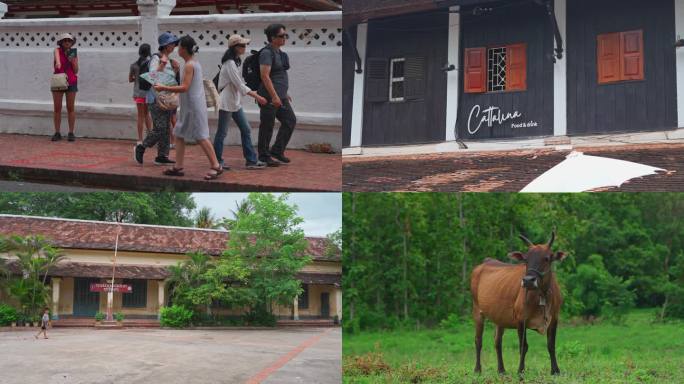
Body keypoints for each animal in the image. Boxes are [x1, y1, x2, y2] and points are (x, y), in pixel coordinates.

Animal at [470, 231, 568, 376]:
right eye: (526, 260)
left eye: (546, 258)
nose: (528, 281)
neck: (543, 294)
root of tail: (485, 262)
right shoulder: (521, 319)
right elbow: (524, 346)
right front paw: (520, 370)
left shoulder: (554, 318)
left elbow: (551, 345)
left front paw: (555, 370)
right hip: (477, 311)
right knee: (478, 340)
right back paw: (477, 369)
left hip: (499, 318)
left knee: (497, 341)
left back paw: (501, 370)